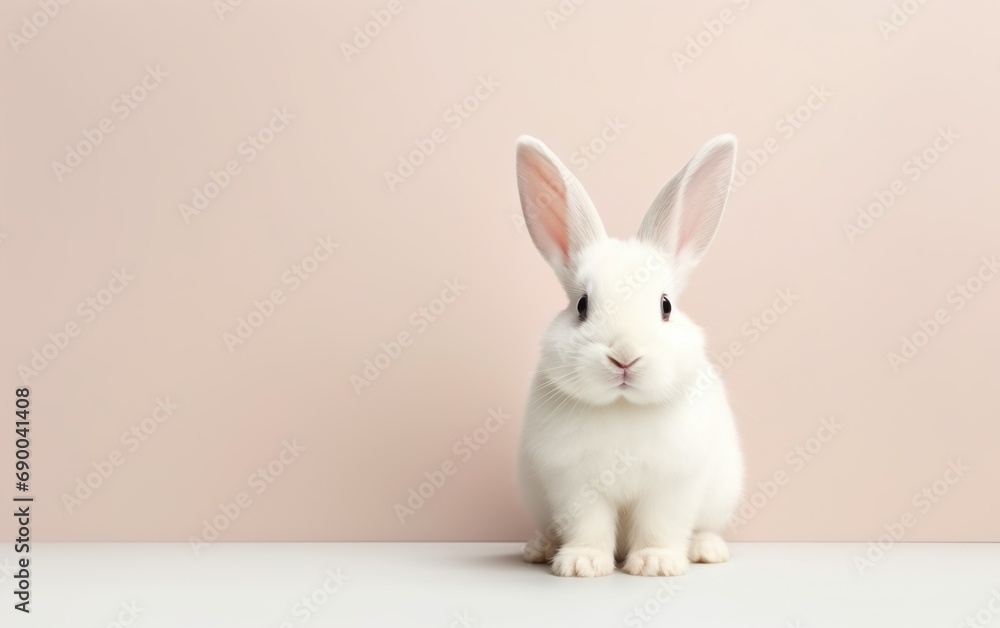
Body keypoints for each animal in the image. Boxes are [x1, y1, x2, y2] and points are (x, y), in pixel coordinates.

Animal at [514, 134, 745, 577]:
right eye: (582, 305)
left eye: (666, 305)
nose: (624, 357)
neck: (622, 406)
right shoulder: (575, 484)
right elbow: (589, 527)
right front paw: (582, 564)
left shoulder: (672, 484)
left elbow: (660, 526)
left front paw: (655, 563)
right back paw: (539, 548)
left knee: (705, 526)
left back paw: (707, 550)